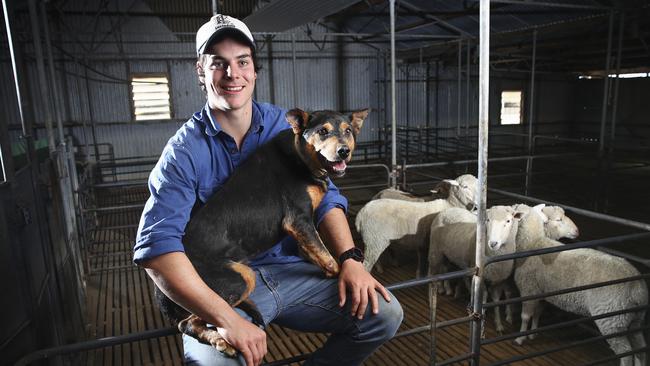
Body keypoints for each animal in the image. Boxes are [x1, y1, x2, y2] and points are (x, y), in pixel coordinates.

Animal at [430, 204, 520, 334]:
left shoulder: (498, 280)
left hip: (447, 255)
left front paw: (498, 324)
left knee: (445, 269)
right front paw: (480, 323)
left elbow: (496, 301)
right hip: (435, 251)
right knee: (432, 273)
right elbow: (483, 300)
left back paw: (447, 289)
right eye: (488, 219)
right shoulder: (481, 279)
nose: (493, 243)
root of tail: (449, 209)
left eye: (508, 221)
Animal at [512, 204, 644, 364]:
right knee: (640, 348)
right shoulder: (540, 291)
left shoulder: (528, 289)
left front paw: (520, 338)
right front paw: (533, 333)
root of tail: (636, 287)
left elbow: (525, 316)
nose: (577, 231)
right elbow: (537, 313)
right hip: (634, 320)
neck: (532, 243)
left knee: (626, 353)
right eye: (559, 219)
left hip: (612, 320)